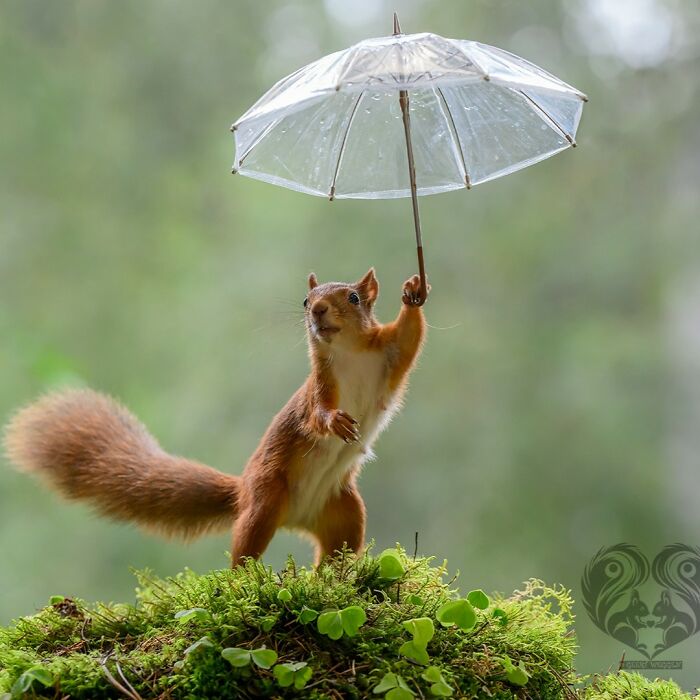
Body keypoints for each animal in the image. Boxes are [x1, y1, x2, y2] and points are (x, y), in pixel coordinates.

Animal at [3, 268, 428, 566]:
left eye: (354, 297)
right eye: (306, 300)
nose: (319, 311)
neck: (349, 351)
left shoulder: (389, 357)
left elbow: (409, 338)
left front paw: (413, 293)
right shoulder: (319, 387)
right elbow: (317, 415)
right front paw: (335, 422)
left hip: (344, 512)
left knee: (336, 555)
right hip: (265, 500)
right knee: (245, 548)